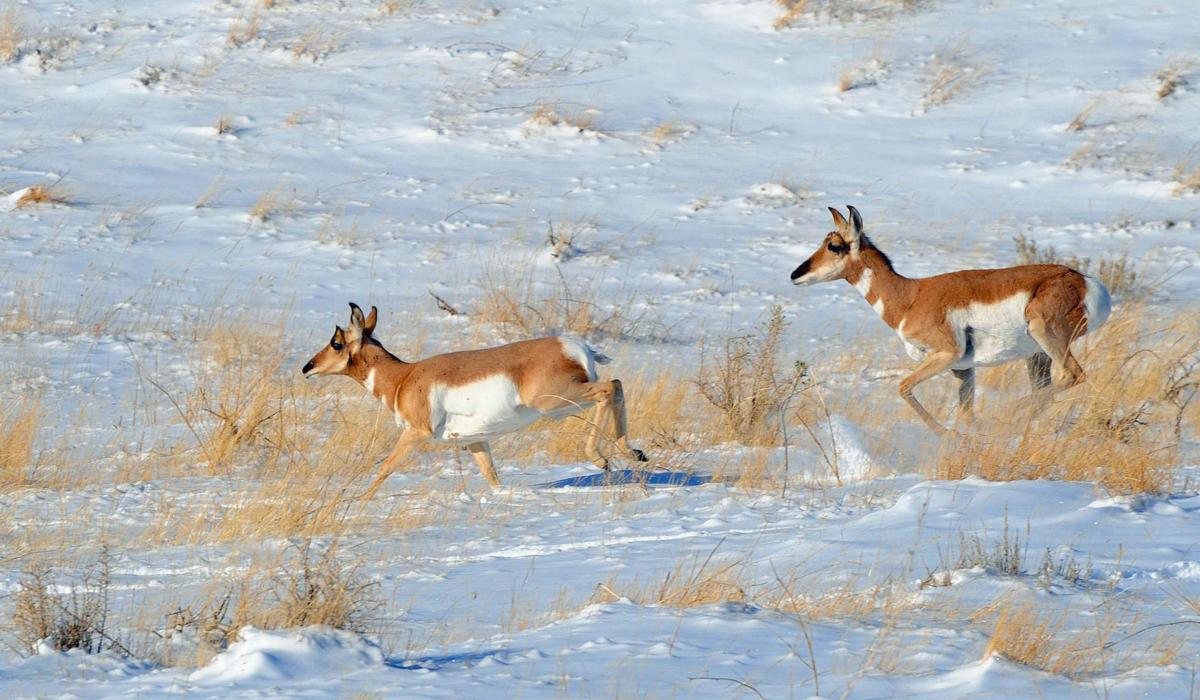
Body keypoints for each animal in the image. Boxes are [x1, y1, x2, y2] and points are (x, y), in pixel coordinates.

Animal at [301, 303, 647, 497]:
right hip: (566, 402)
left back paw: (604, 458)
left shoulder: (415, 433)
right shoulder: (476, 441)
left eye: (336, 342)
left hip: (554, 402)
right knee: (616, 386)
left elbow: (386, 467)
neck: (404, 377)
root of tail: (574, 345)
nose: (307, 367)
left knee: (610, 388)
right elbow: (492, 476)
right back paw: (634, 456)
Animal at [790, 205, 1112, 435]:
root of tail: (1086, 282)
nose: (795, 275)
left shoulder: (946, 355)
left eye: (834, 245)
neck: (910, 296)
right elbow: (966, 414)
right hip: (1035, 356)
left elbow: (903, 387)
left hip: (1043, 332)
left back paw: (1005, 414)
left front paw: (945, 433)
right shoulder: (963, 369)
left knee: (1072, 376)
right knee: (1046, 390)